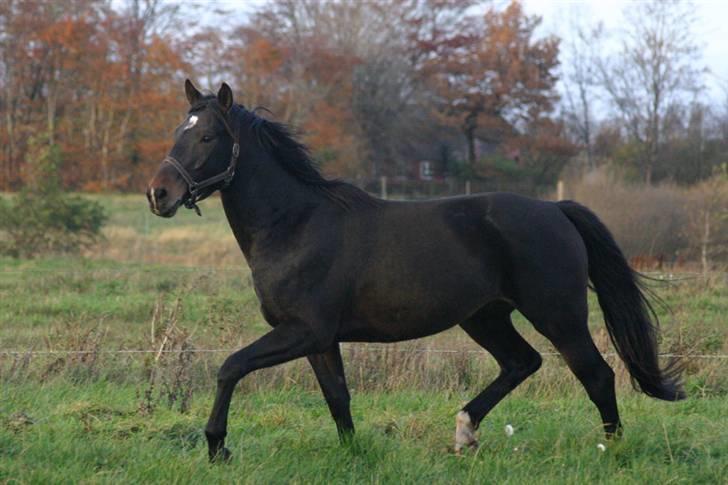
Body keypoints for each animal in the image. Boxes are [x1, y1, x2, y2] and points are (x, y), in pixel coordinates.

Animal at [146, 80, 684, 462]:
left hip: (558, 315)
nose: (159, 194)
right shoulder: (320, 339)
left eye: (208, 136)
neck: (294, 224)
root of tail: (555, 210)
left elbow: (230, 367)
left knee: (596, 375)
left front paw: (217, 446)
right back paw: (465, 433)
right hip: (485, 316)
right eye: (176, 132)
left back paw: (610, 450)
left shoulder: (304, 331)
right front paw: (353, 453)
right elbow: (338, 398)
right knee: (521, 363)